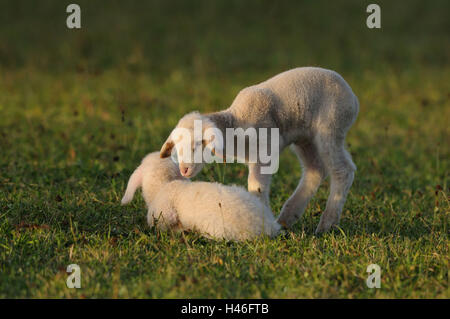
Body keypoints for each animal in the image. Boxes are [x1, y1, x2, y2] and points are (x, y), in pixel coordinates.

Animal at [160, 67, 360, 235]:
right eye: (176, 148)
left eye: (199, 143)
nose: (184, 170)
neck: (237, 122)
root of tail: (352, 97)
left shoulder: (264, 151)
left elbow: (256, 186)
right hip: (305, 138)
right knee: (315, 170)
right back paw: (288, 217)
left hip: (331, 127)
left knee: (343, 170)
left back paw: (327, 224)